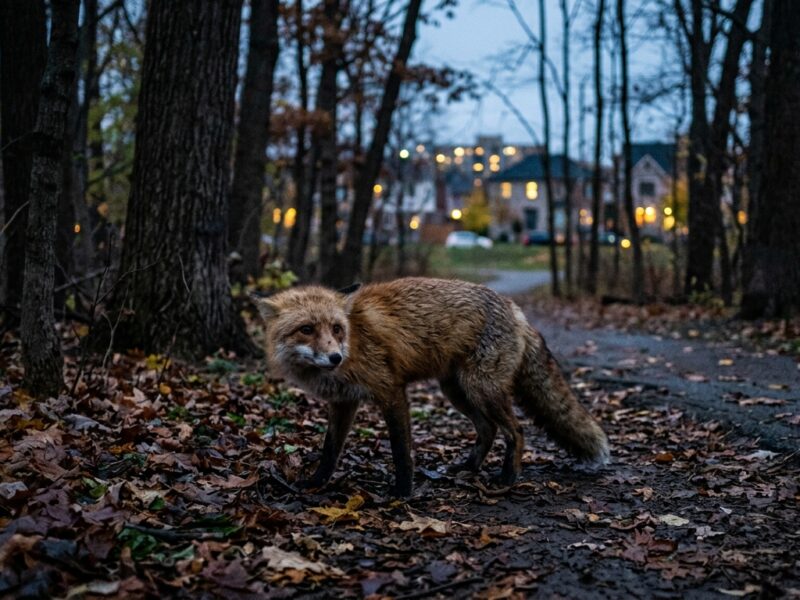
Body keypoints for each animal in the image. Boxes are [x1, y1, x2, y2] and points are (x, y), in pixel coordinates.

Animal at [257, 277, 609, 497]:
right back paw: (467, 467)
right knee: (488, 429)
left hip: (481, 389)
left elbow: (401, 450)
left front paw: (403, 492)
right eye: (306, 329)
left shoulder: (391, 391)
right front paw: (315, 483)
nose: (335, 357)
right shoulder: (343, 402)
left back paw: (508, 477)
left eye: (336, 328)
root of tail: (514, 308)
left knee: (516, 430)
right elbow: (330, 450)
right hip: (457, 391)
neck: (355, 340)